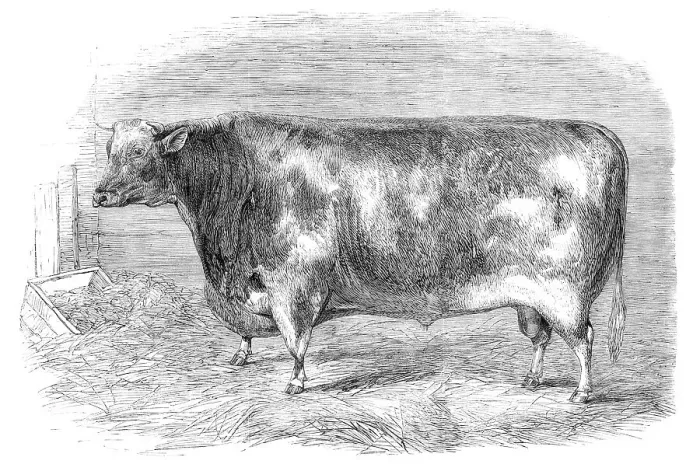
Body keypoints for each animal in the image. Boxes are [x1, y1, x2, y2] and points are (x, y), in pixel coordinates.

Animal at [93, 112, 628, 403]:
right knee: (541, 337)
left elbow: (295, 340)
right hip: (529, 298)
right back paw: (533, 379)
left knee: (583, 337)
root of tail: (598, 135)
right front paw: (240, 356)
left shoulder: (294, 282)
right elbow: (248, 329)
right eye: (110, 149)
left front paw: (295, 383)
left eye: (140, 153)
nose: (98, 193)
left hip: (564, 290)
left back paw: (581, 393)